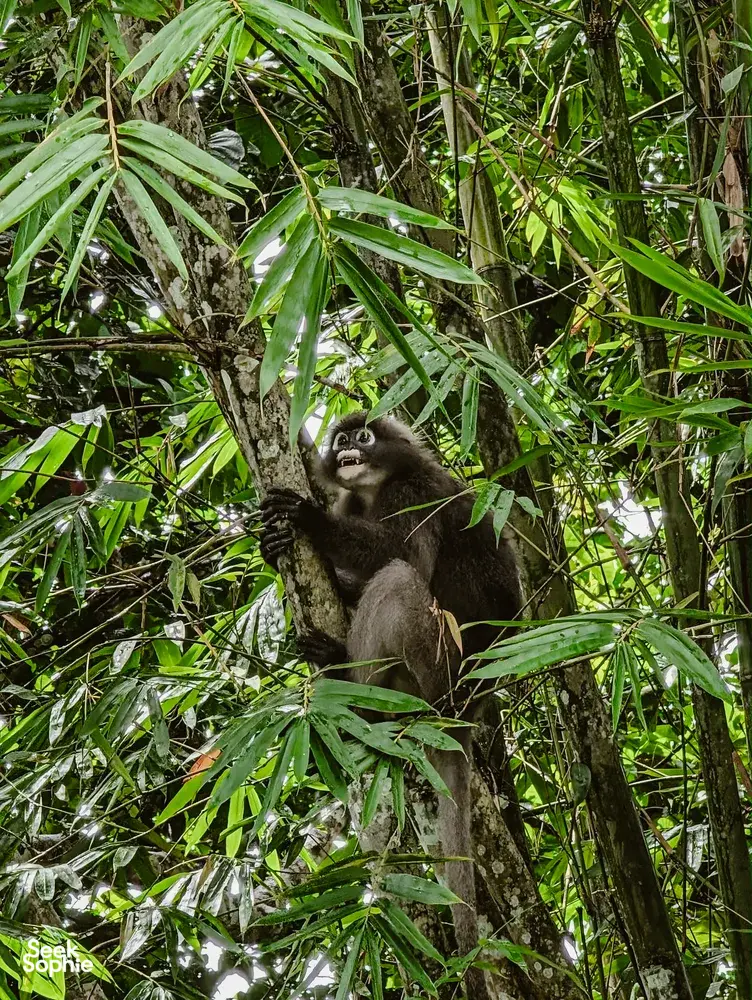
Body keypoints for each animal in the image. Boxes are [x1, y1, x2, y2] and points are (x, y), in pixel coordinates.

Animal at [260, 412, 521, 999]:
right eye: (341, 439)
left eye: (365, 437)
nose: (346, 450)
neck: (374, 487)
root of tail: (464, 704)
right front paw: (272, 542)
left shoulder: (414, 493)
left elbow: (398, 554)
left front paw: (306, 518)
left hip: (435, 664)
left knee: (399, 576)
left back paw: (346, 677)